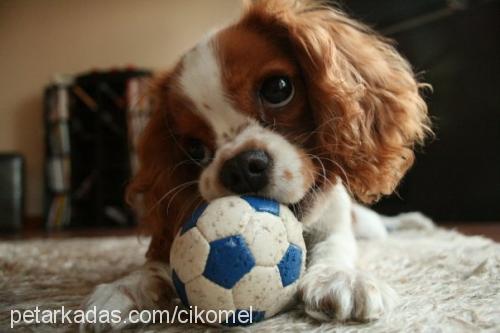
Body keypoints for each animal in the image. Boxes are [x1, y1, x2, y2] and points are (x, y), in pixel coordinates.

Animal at [83, 0, 434, 326]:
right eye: (194, 148)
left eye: (278, 88)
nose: (239, 167)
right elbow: (158, 262)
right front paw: (127, 286)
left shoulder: (334, 225)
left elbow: (336, 248)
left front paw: (339, 277)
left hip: (369, 225)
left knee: (383, 225)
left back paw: (414, 222)